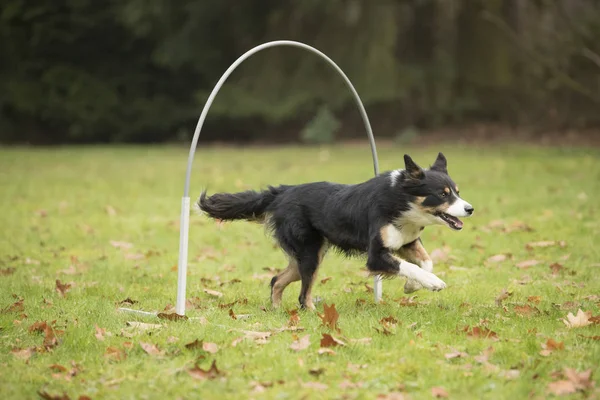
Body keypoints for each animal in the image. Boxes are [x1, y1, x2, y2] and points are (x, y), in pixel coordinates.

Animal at [199, 153, 476, 310]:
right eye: (442, 194)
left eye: (457, 191)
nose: (470, 208)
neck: (400, 200)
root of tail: (283, 191)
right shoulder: (376, 255)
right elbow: (409, 266)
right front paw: (432, 282)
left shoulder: (406, 242)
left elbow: (426, 262)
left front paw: (412, 286)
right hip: (310, 254)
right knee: (303, 296)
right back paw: (313, 314)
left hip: (307, 256)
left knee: (277, 280)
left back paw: (277, 311)